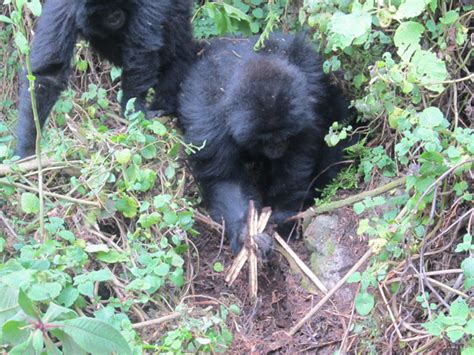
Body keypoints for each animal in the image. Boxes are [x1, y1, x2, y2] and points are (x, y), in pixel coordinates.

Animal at [13, 0, 194, 159]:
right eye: (105, 13)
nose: (114, 16)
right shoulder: (64, 9)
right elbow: (49, 73)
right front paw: (27, 149)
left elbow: (141, 48)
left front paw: (133, 109)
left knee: (174, 45)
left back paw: (165, 103)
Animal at [180, 34, 354, 256]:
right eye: (264, 140)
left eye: (283, 136)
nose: (276, 148)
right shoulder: (210, 124)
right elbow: (225, 179)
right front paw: (244, 231)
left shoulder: (305, 108)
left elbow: (295, 163)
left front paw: (281, 216)